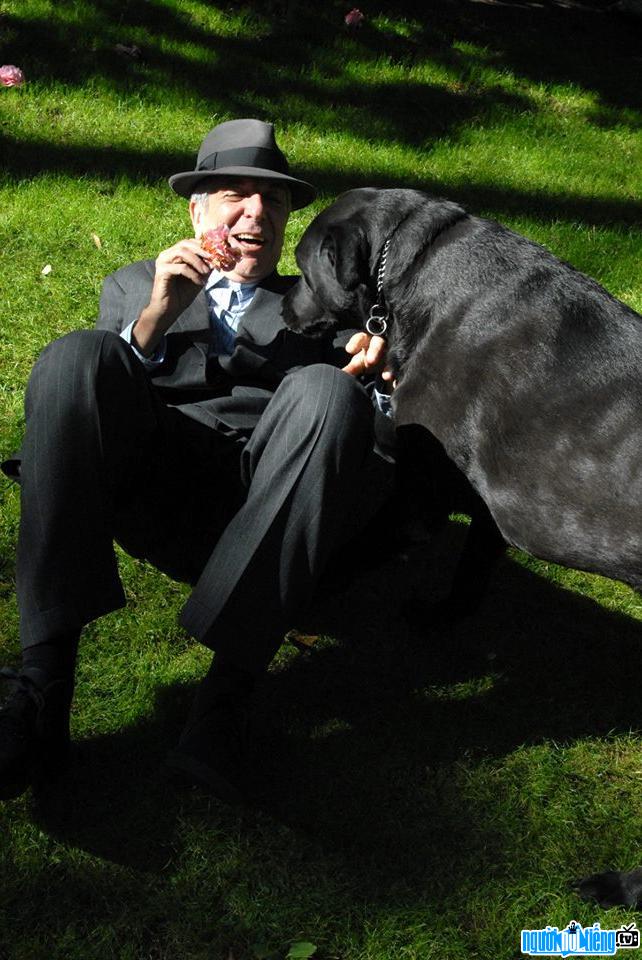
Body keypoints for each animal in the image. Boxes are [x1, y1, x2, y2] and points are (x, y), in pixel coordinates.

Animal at [282, 189, 640, 908]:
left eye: (304, 269)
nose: (279, 304)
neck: (418, 267)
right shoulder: (488, 500)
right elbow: (473, 571)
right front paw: (440, 616)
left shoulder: (417, 497)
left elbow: (347, 553)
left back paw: (618, 885)